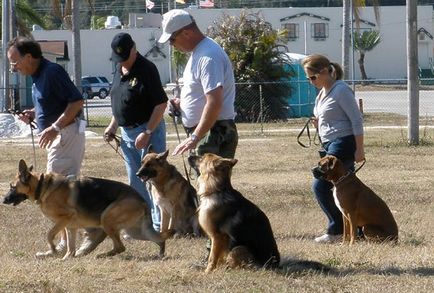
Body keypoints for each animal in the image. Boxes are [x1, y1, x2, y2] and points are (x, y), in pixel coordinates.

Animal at [3, 160, 174, 258]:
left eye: (12, 187)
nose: (3, 200)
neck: (42, 186)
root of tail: (143, 200)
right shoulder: (69, 226)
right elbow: (70, 247)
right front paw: (66, 258)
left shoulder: (63, 220)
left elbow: (49, 235)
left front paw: (53, 250)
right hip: (135, 231)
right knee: (159, 239)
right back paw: (161, 254)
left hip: (107, 220)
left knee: (120, 247)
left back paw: (103, 255)